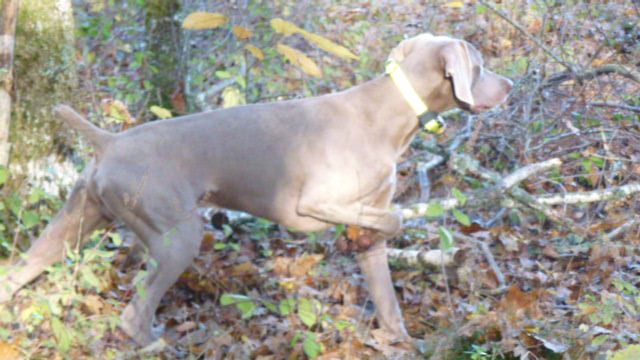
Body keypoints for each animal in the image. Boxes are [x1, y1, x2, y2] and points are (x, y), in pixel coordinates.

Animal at [0, 33, 510, 346]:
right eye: (480, 66)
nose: (508, 85)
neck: (391, 114)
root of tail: (109, 141)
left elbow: (387, 293)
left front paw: (400, 341)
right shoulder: (315, 202)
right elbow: (395, 217)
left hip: (74, 221)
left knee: (18, 272)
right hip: (177, 235)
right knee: (133, 314)